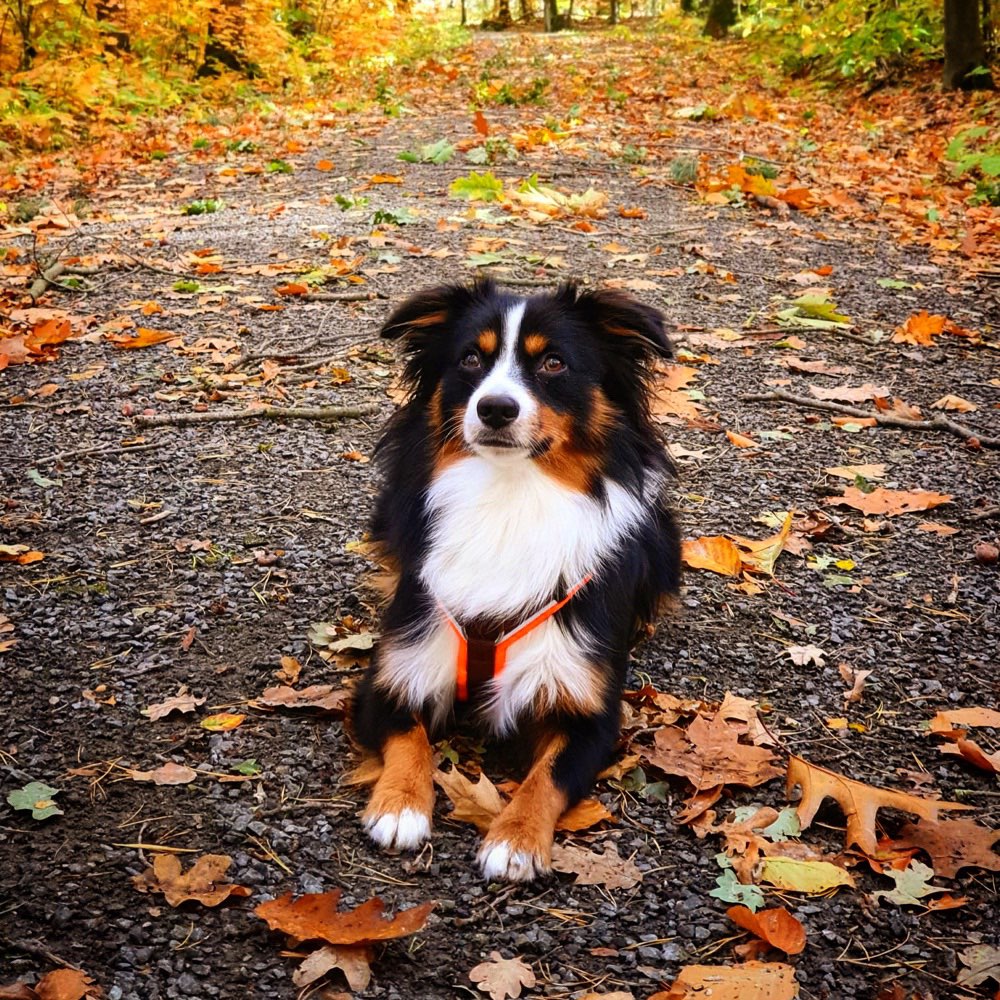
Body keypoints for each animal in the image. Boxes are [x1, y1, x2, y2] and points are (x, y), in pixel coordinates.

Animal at [350, 280, 680, 884]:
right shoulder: (391, 673)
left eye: (554, 363)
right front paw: (400, 805)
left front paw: (517, 839)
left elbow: (548, 776)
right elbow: (409, 738)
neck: (509, 496)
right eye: (470, 359)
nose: (495, 407)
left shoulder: (589, 710)